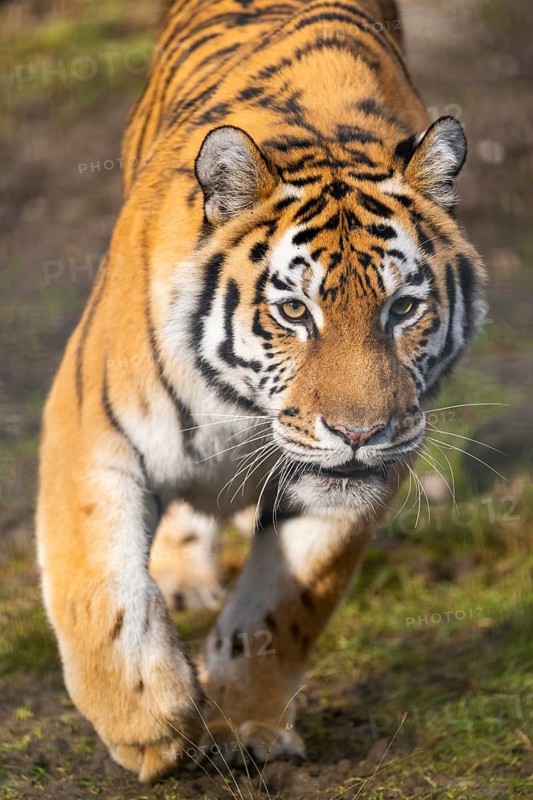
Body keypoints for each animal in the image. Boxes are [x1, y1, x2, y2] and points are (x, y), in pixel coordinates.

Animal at [36, 0, 487, 783]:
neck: (242, 409)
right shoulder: (89, 426)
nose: (360, 433)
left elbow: (281, 610)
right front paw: (149, 723)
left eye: (402, 308)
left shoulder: (347, 487)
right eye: (294, 312)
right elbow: (100, 591)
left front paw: (242, 724)